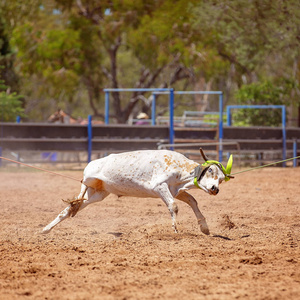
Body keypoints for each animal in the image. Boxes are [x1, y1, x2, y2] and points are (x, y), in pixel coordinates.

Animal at [42, 149, 232, 236]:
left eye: (222, 179)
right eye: (210, 171)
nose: (215, 189)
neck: (180, 167)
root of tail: (92, 162)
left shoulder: (176, 190)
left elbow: (193, 201)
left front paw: (204, 227)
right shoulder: (160, 187)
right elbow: (173, 206)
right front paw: (175, 229)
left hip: (98, 193)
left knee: (72, 206)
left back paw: (46, 228)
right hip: (88, 178)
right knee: (80, 191)